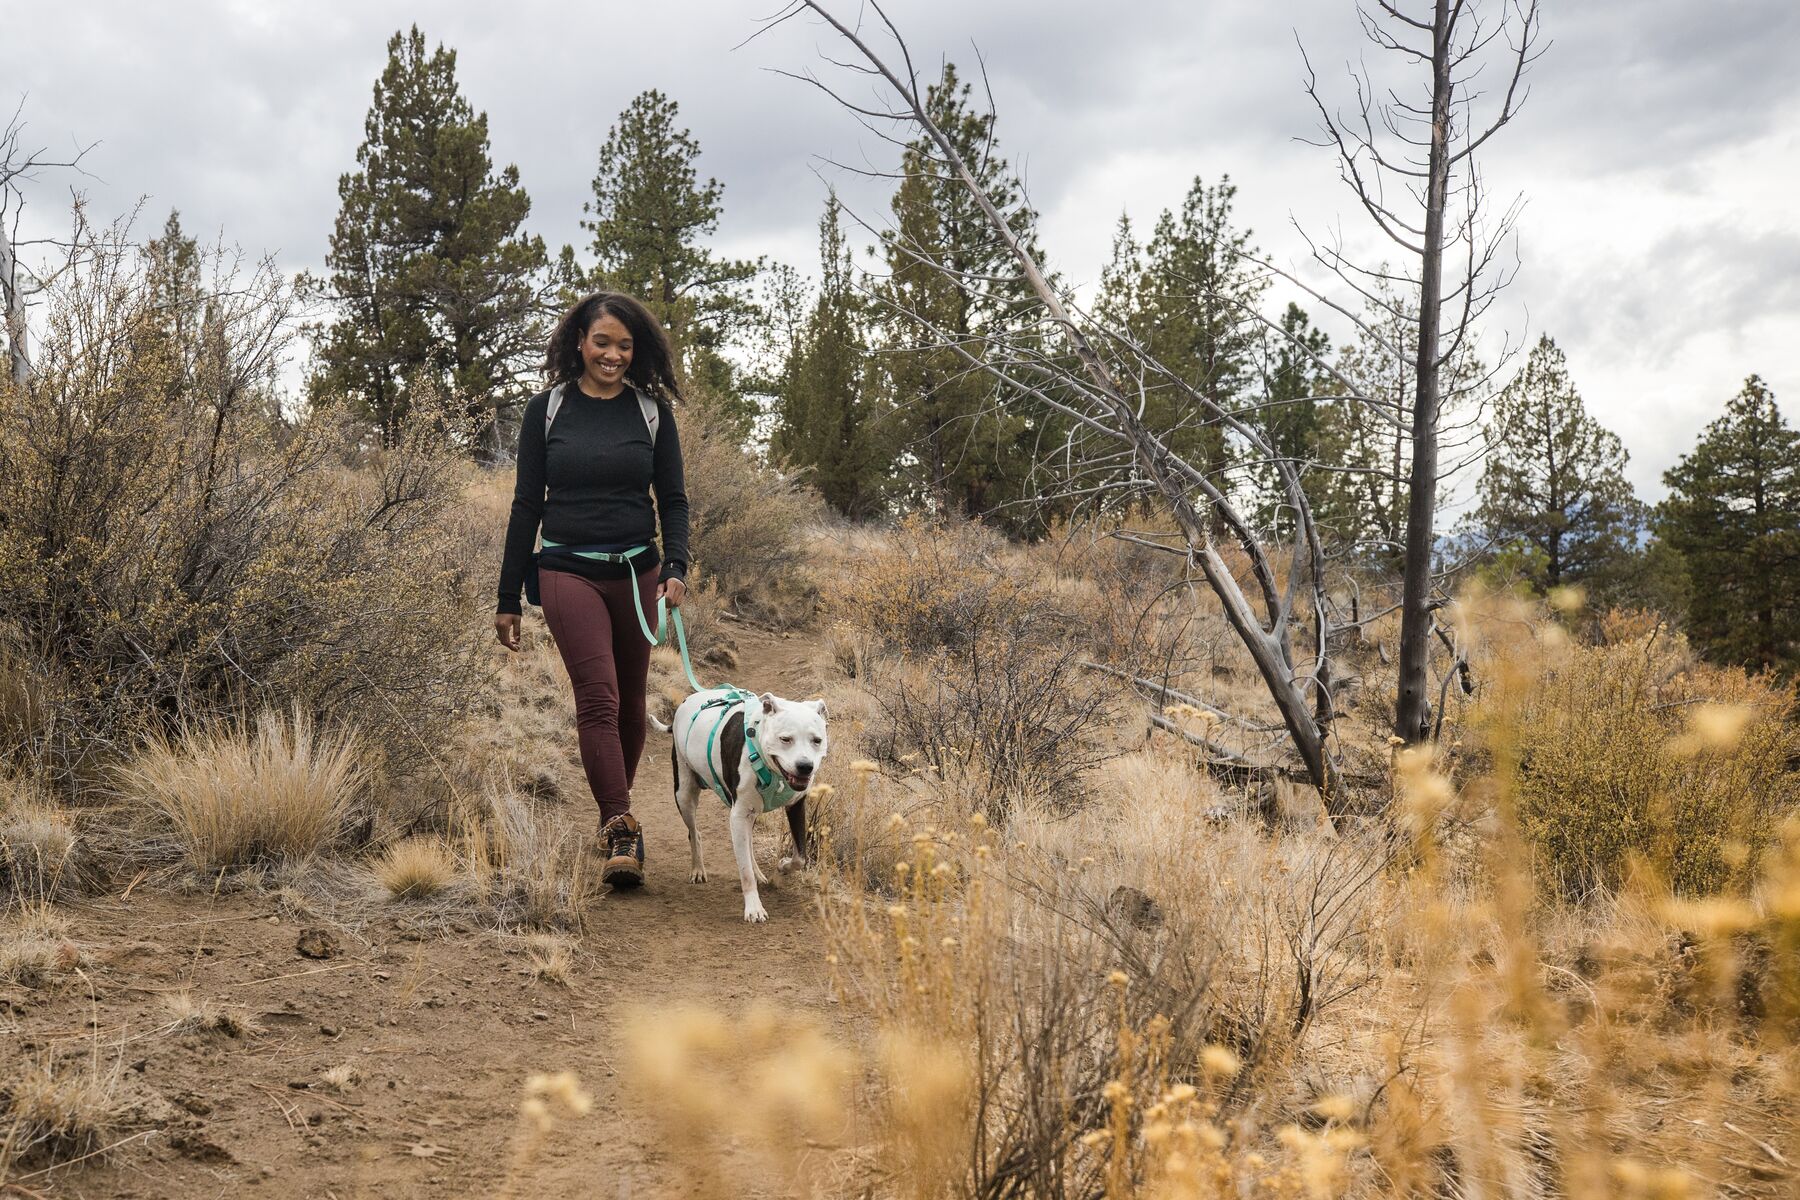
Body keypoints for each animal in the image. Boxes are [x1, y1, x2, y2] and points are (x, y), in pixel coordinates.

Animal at [662, 690, 828, 928]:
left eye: (817, 740)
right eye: (785, 739)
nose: (805, 766)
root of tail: (690, 698)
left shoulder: (795, 805)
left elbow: (800, 858)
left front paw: (782, 866)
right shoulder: (738, 816)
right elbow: (744, 872)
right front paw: (754, 908)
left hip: (749, 812)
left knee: (747, 842)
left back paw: (758, 873)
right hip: (684, 793)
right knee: (694, 833)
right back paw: (698, 869)